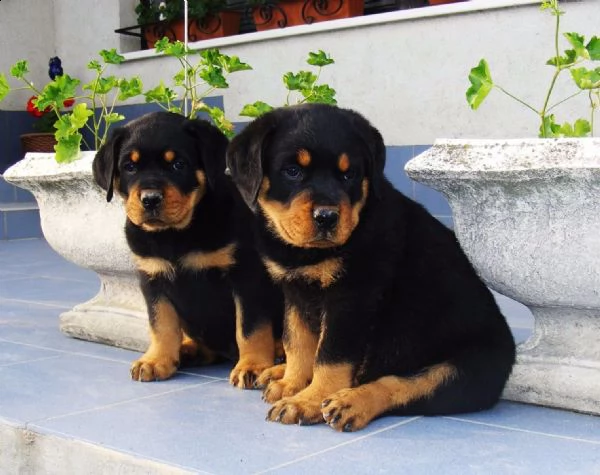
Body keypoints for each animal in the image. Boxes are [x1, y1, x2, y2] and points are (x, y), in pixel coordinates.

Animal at [93, 113, 284, 388]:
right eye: (129, 167)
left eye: (178, 165)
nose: (150, 199)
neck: (175, 234)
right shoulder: (153, 279)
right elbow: (161, 325)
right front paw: (157, 360)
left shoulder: (246, 277)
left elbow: (250, 328)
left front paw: (253, 365)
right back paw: (186, 350)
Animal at [225, 103, 516, 432]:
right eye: (292, 171)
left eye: (349, 174)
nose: (327, 217)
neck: (308, 254)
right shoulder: (295, 291)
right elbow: (296, 341)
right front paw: (292, 384)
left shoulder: (352, 296)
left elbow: (331, 355)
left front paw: (308, 401)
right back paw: (277, 372)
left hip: (466, 369)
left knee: (403, 384)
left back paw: (350, 403)